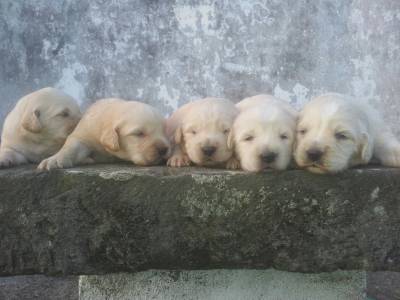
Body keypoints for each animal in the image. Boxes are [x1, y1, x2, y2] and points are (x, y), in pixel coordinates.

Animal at [39, 98, 172, 170]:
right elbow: (71, 146)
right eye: (139, 133)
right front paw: (54, 160)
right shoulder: (85, 133)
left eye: (164, 131)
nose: (164, 150)